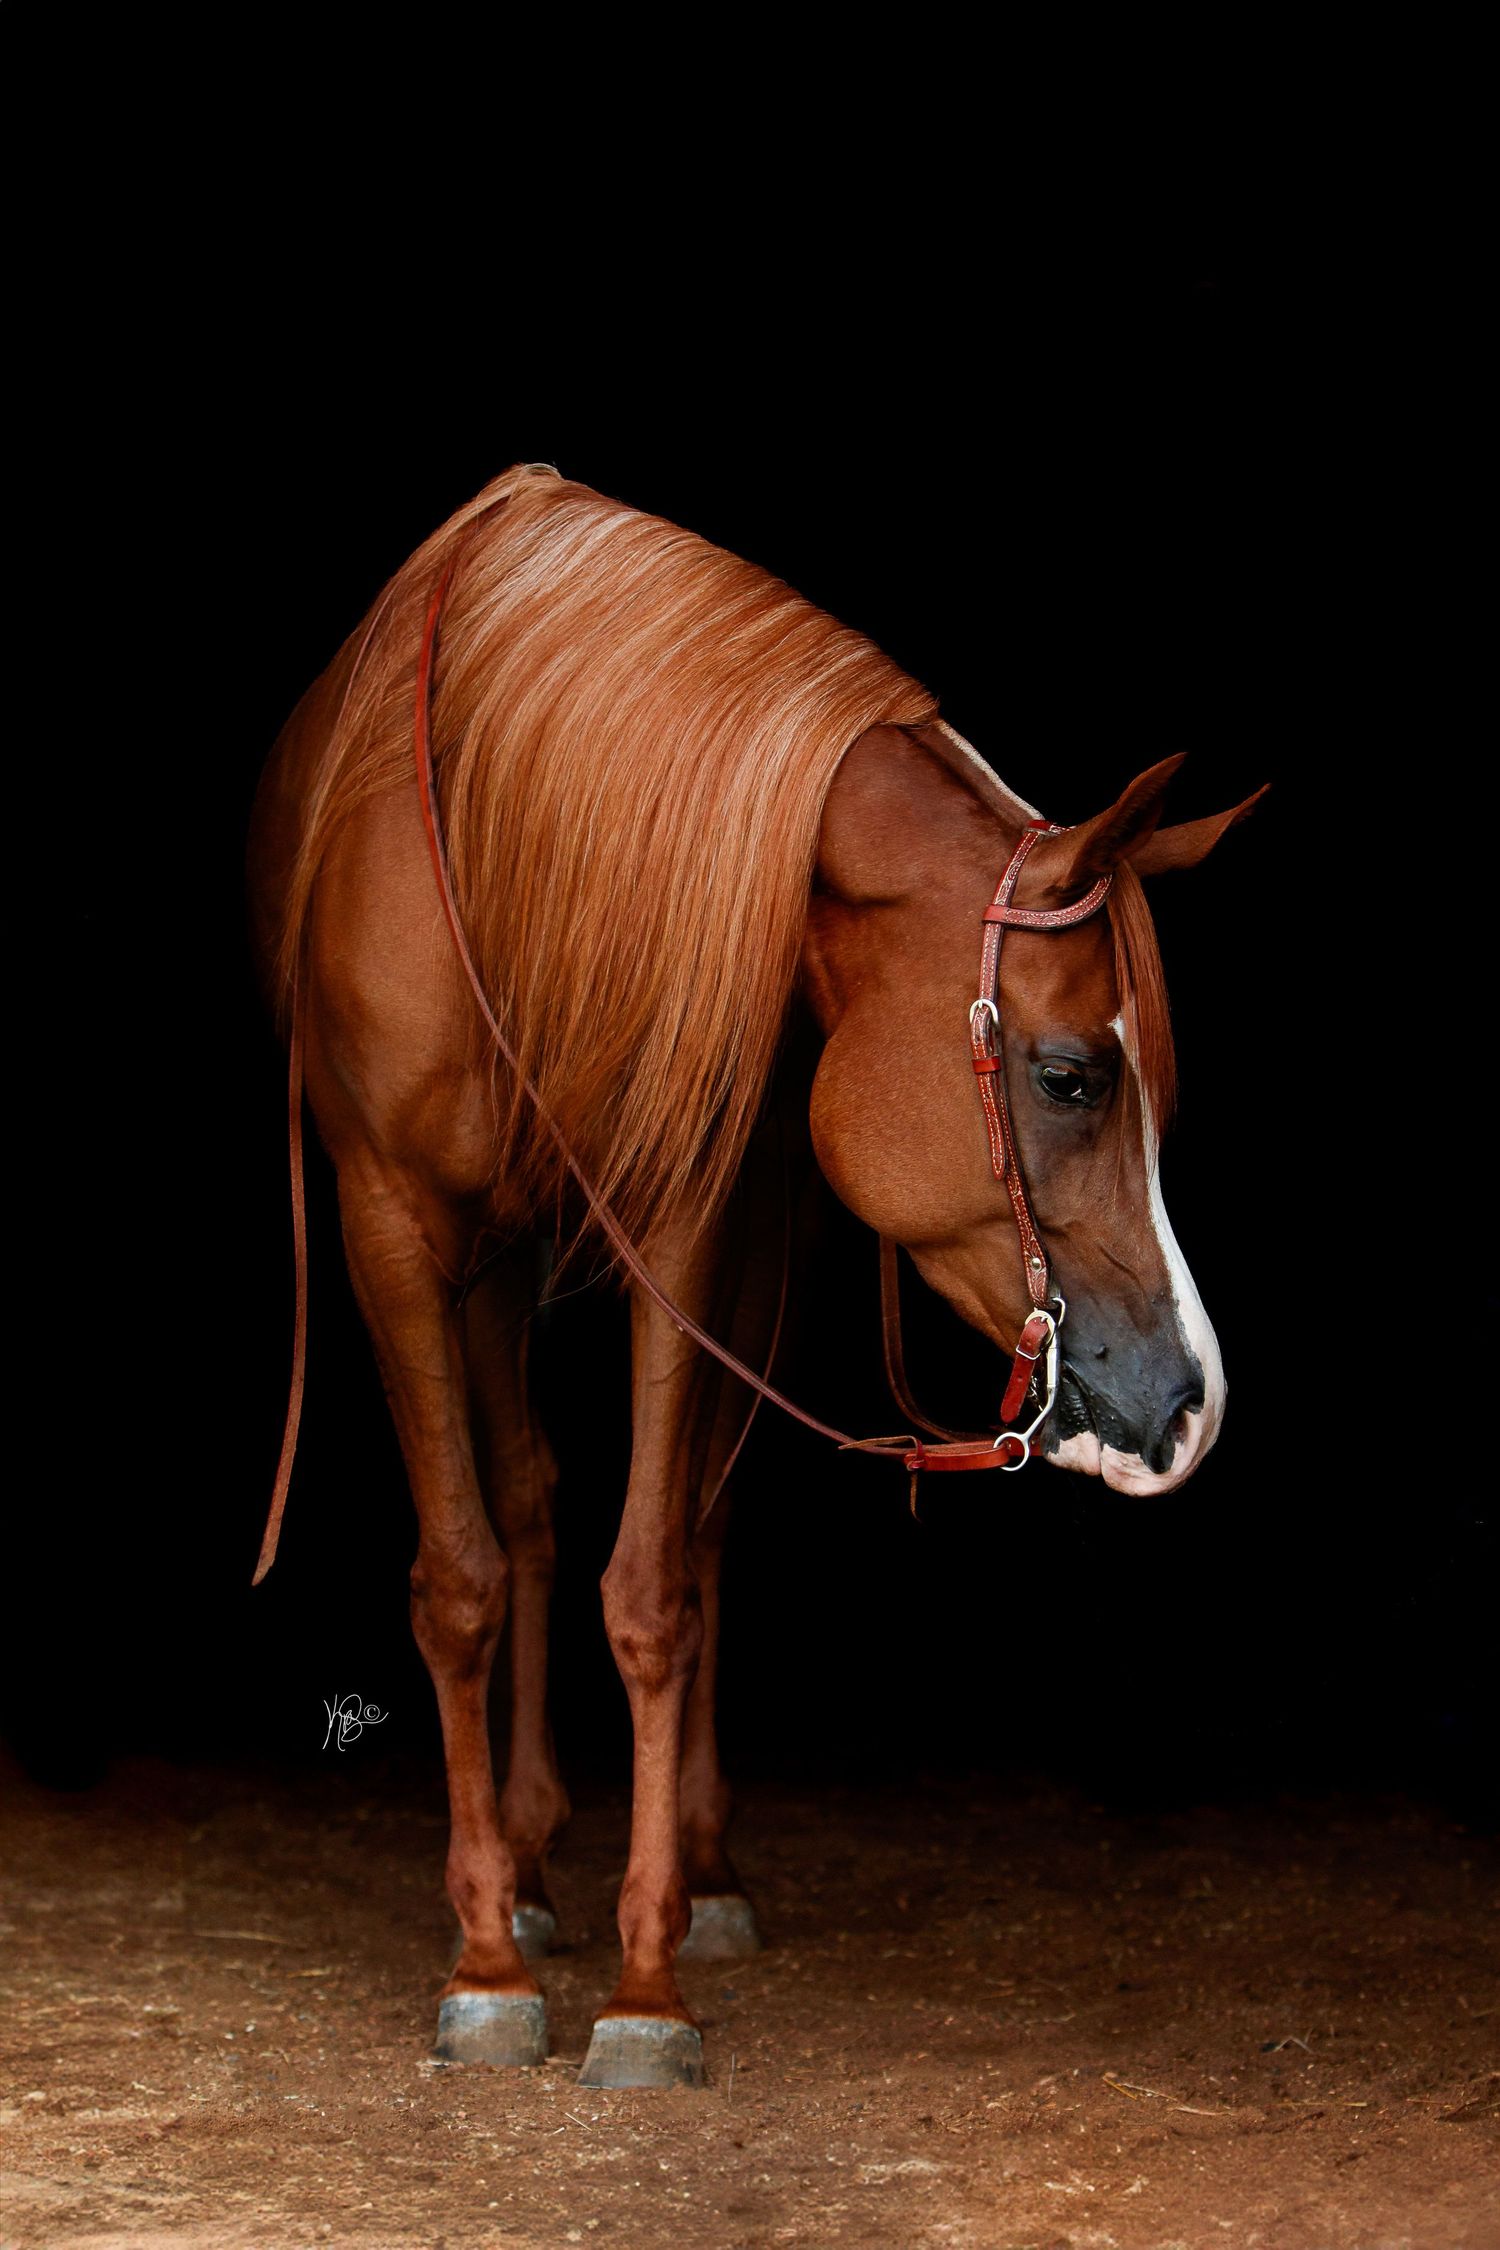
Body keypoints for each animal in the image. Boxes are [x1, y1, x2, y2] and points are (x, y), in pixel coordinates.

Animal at [246, 461, 1262, 2090]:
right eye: (1069, 1076)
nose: (1188, 1401)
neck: (524, 820)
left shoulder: (687, 1216)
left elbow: (659, 1580)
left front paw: (649, 1985)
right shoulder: (389, 1221)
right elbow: (461, 1576)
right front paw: (484, 1959)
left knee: (698, 1529)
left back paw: (697, 1876)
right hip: (485, 1255)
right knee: (524, 1502)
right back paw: (526, 1872)